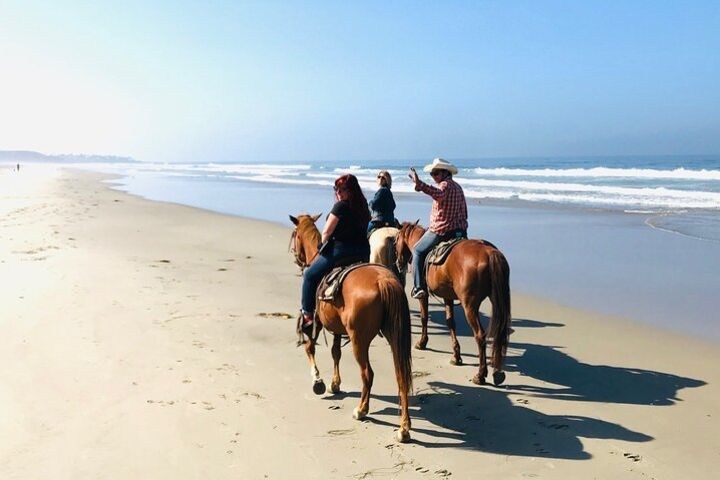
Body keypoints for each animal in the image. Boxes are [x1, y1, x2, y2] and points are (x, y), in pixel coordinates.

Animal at [286, 214, 410, 442]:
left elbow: (310, 348)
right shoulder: (336, 328)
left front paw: (318, 381)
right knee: (401, 375)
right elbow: (336, 352)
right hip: (394, 335)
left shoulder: (316, 322)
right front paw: (335, 383)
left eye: (295, 235)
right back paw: (404, 428)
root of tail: (384, 280)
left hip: (359, 340)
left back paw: (361, 410)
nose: (297, 259)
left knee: (367, 374)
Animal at [394, 222, 512, 386]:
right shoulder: (447, 296)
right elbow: (450, 322)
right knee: (499, 333)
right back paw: (497, 374)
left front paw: (422, 343)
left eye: (395, 240)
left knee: (480, 335)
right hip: (497, 301)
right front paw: (456, 356)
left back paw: (480, 375)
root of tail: (489, 253)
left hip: (469, 306)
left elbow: (424, 317)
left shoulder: (423, 294)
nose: (398, 263)